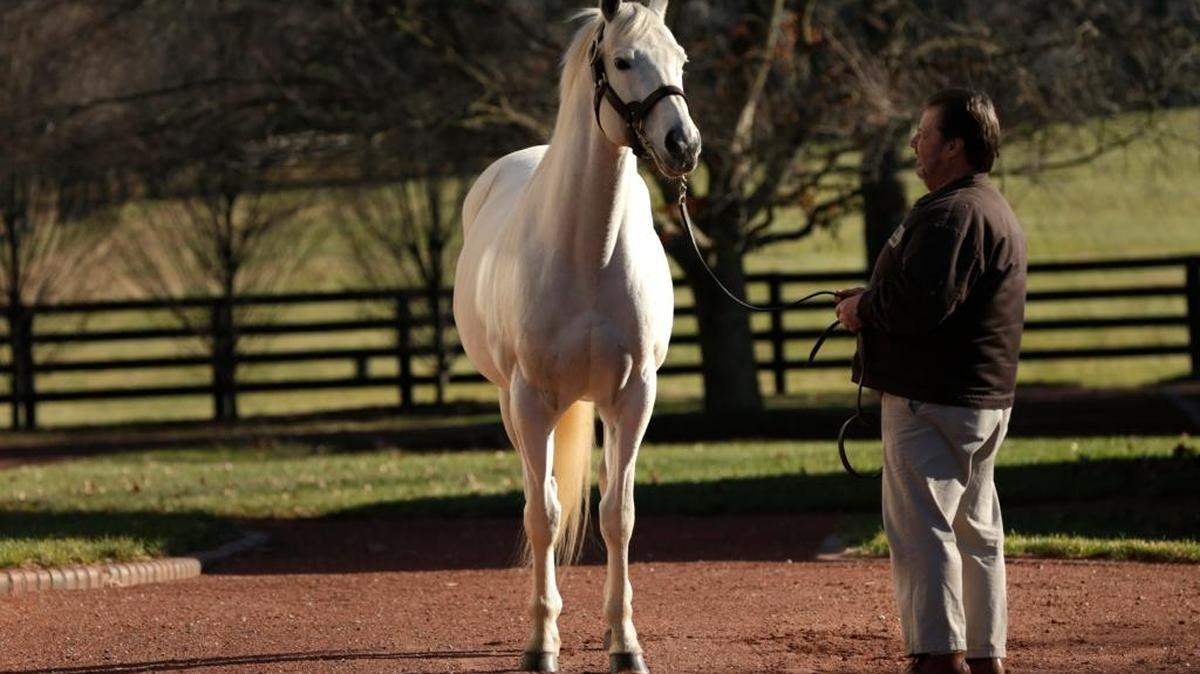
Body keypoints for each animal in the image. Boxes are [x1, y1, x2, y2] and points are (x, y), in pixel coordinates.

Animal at [451, 0, 700, 672]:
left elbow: (619, 516)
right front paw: (541, 644)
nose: (684, 144)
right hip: (511, 404)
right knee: (542, 499)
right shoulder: (532, 401)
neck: (590, 250)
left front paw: (626, 644)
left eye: (681, 58)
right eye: (623, 60)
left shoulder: (634, 399)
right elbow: (543, 515)